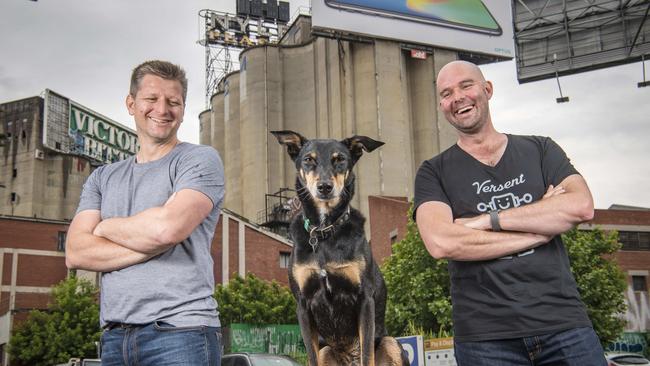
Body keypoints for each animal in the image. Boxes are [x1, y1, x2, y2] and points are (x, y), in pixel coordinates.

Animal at [270, 130, 402, 364]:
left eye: (339, 159)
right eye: (308, 159)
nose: (324, 187)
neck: (324, 232)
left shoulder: (365, 299)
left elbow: (367, 353)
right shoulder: (303, 305)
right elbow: (311, 357)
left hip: (391, 343)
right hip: (326, 351)